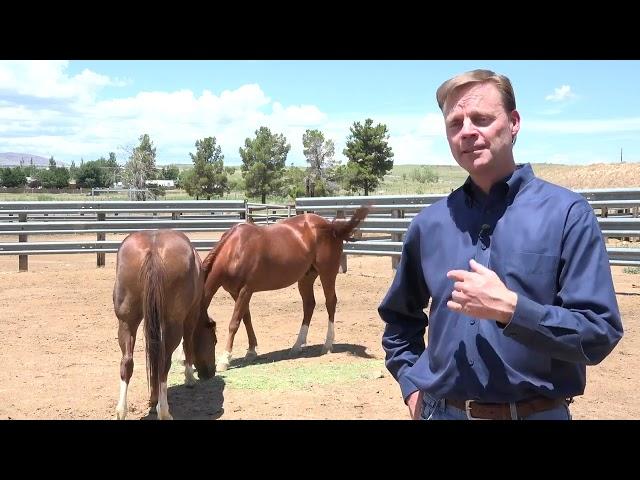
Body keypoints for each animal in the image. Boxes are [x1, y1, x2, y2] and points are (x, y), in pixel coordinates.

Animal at [113, 229, 218, 420]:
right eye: (214, 341)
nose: (210, 373)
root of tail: (153, 251)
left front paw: (153, 400)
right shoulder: (191, 316)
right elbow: (188, 343)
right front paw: (189, 378)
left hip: (126, 322)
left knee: (127, 362)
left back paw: (122, 410)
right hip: (173, 323)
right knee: (164, 361)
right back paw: (164, 411)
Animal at [200, 206, 370, 372]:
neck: (235, 250)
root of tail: (331, 226)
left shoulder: (246, 291)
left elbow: (234, 323)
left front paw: (225, 359)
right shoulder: (235, 292)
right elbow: (246, 319)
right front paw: (251, 351)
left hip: (327, 273)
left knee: (330, 302)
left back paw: (327, 345)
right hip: (306, 277)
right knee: (309, 305)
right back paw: (297, 346)